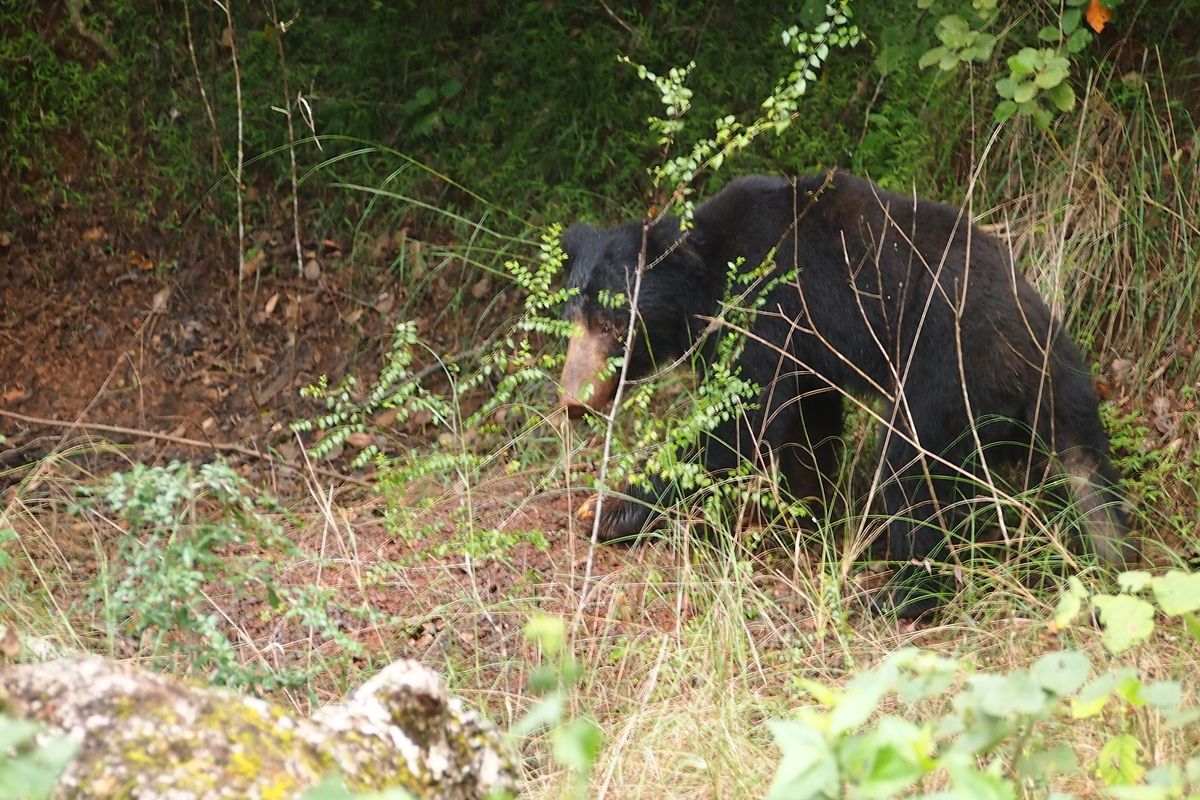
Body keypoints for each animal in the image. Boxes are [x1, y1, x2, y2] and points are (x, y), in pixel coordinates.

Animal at [557, 170, 1136, 616]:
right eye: (572, 318)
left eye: (612, 323)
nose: (573, 400)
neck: (705, 271)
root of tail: (1040, 358)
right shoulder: (808, 349)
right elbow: (807, 420)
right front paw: (808, 511)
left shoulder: (768, 307)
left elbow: (743, 422)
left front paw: (610, 510)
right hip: (1060, 406)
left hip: (947, 381)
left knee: (911, 474)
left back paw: (898, 596)